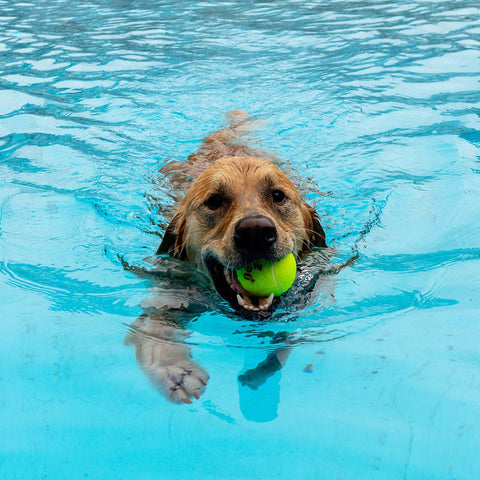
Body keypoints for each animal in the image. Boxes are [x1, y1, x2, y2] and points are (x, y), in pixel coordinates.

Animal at [125, 113, 328, 404]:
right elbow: (154, 326)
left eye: (278, 196)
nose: (256, 232)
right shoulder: (170, 291)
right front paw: (176, 370)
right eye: (214, 201)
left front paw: (259, 374)